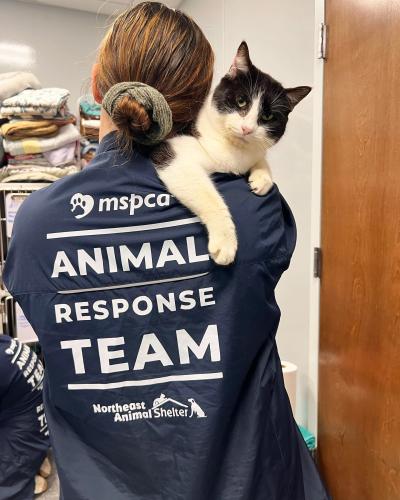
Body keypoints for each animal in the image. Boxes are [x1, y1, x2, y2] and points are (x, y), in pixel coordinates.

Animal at [152, 42, 310, 266]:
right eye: (241, 102)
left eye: (268, 116)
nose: (247, 129)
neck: (232, 148)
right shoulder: (174, 154)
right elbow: (208, 196)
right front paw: (225, 243)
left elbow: (258, 156)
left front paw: (263, 177)